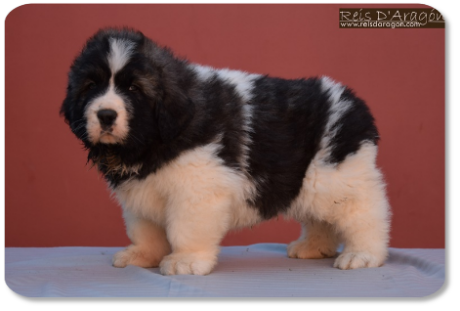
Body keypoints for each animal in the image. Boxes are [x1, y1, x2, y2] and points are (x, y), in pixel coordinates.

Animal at [60, 26, 392, 276]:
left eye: (134, 89)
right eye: (90, 86)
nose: (105, 115)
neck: (151, 142)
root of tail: (353, 103)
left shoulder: (198, 186)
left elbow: (185, 228)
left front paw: (186, 261)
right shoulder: (142, 192)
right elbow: (145, 229)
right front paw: (142, 255)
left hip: (339, 176)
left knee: (365, 213)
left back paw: (363, 254)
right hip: (308, 182)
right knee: (320, 217)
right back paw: (313, 247)